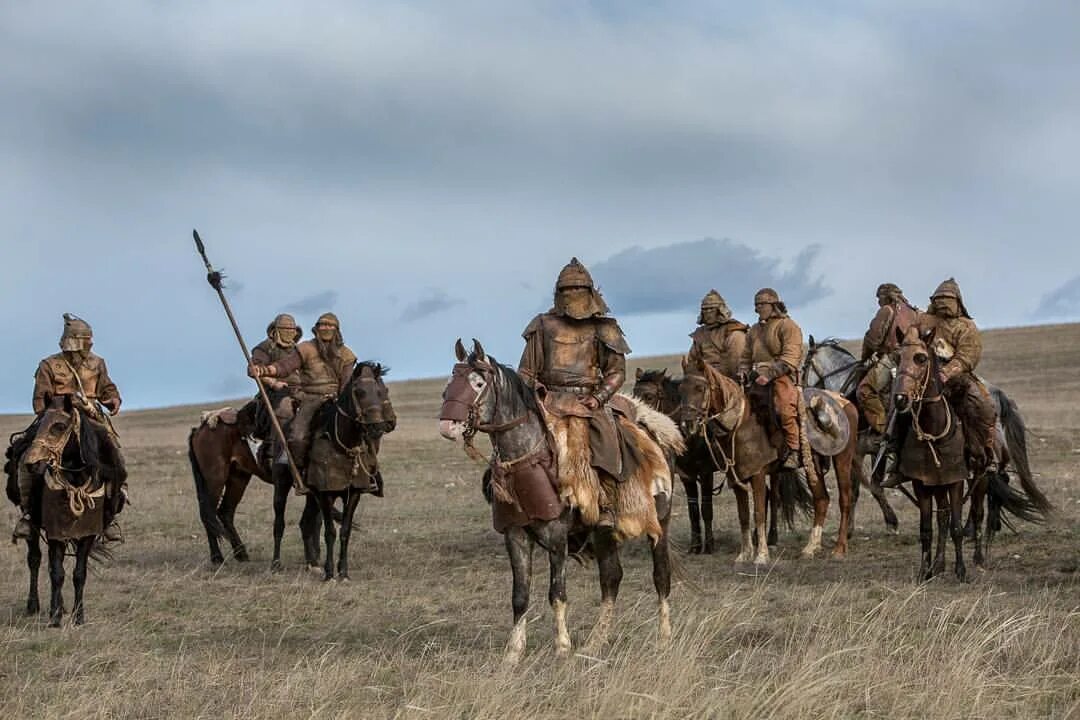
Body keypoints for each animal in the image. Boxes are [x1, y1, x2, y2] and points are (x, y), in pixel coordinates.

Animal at [436, 338, 673, 664]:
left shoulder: (557, 537)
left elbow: (556, 593)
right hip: (603, 534)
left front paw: (562, 647)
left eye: (478, 383)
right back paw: (595, 643)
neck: (527, 458)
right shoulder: (515, 535)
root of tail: (651, 431)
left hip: (658, 522)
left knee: (660, 577)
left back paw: (663, 638)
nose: (448, 425)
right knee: (611, 579)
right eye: (451, 381)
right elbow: (520, 596)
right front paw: (513, 653)